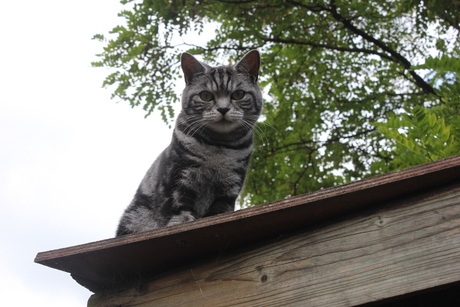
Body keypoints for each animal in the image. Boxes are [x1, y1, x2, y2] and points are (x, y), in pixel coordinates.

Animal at [116, 51, 262, 238]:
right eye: (206, 96)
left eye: (238, 94)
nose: (223, 109)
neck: (218, 146)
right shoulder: (178, 174)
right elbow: (177, 204)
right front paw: (181, 222)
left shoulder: (230, 186)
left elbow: (219, 212)